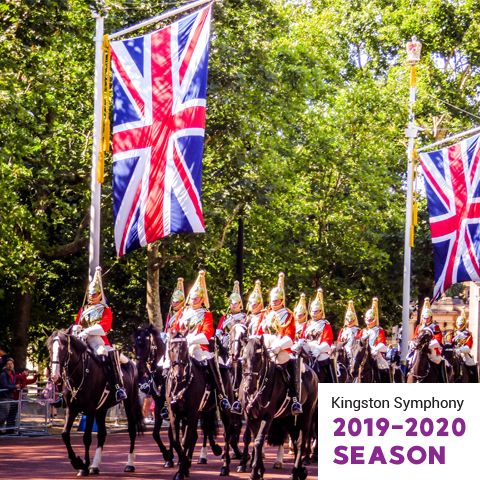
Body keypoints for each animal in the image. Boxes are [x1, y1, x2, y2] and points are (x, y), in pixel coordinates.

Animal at [47, 330, 142, 476]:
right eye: (50, 348)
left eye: (63, 349)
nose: (56, 377)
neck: (80, 375)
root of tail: (131, 363)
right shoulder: (71, 408)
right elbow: (65, 434)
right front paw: (77, 462)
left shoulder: (90, 409)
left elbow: (86, 437)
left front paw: (84, 466)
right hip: (102, 409)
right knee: (102, 434)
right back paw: (95, 466)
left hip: (129, 403)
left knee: (131, 430)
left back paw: (130, 464)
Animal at [167, 330, 232, 480]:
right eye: (171, 349)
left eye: (185, 348)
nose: (179, 375)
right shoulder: (175, 414)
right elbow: (177, 440)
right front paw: (184, 466)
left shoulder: (192, 413)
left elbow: (185, 440)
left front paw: (181, 471)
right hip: (203, 411)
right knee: (200, 432)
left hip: (223, 410)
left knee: (227, 435)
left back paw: (225, 467)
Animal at [238, 334, 316, 480]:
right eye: (243, 359)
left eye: (258, 359)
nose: (249, 388)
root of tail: (312, 371)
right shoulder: (249, 416)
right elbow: (256, 440)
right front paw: (259, 470)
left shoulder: (268, 416)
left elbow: (258, 441)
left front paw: (254, 472)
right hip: (288, 418)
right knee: (295, 440)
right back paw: (299, 471)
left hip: (307, 415)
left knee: (300, 442)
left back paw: (296, 472)